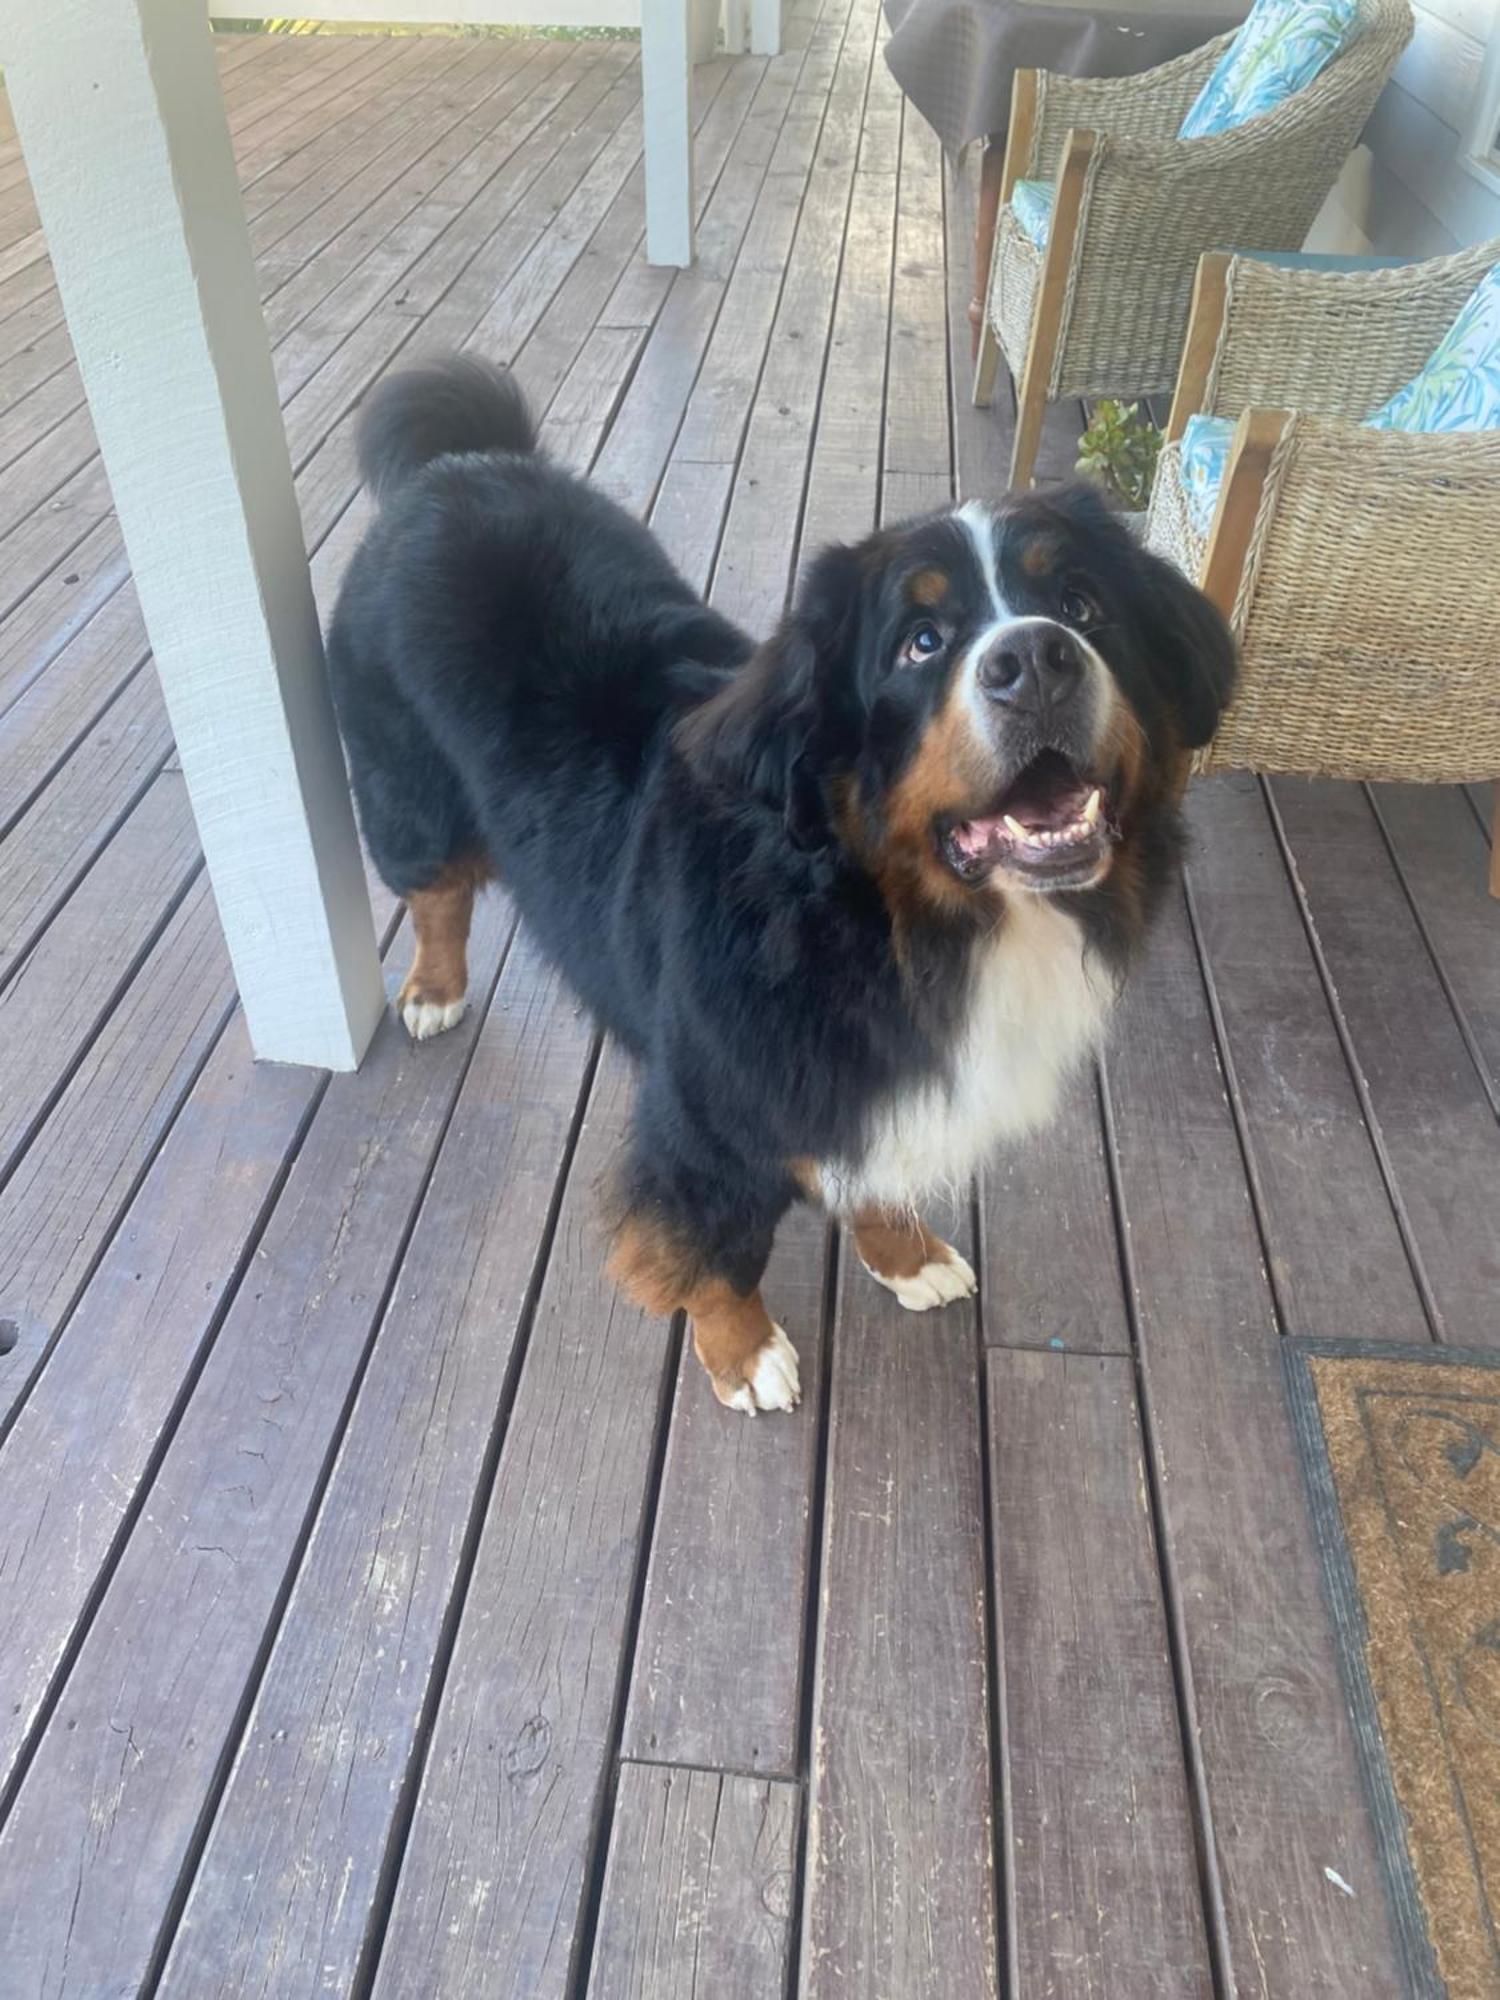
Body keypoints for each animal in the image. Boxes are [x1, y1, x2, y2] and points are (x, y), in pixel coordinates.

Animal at [328, 364, 1232, 1424]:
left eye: (1083, 605)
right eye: (921, 642)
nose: (1037, 660)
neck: (881, 922)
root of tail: (456, 466)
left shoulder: (857, 1084)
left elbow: (871, 1171)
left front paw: (905, 1256)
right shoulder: (709, 1115)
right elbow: (715, 1246)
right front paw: (744, 1353)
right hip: (406, 789)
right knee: (435, 891)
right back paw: (434, 989)